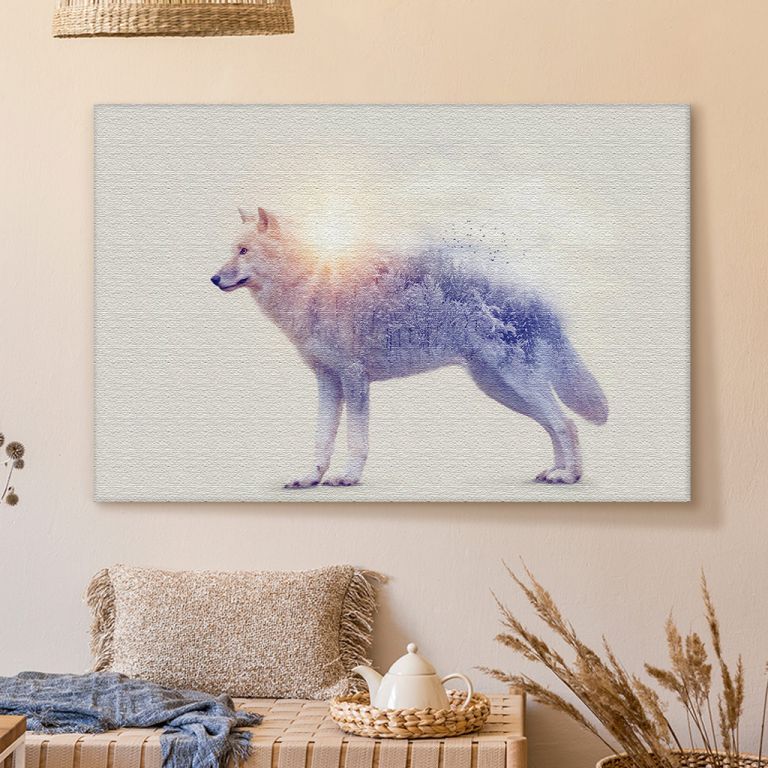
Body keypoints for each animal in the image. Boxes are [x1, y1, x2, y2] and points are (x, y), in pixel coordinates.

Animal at [211, 208, 608, 488]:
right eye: (232, 251)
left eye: (244, 251)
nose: (213, 278)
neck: (310, 283)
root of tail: (539, 297)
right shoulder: (327, 380)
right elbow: (321, 438)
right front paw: (311, 478)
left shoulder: (354, 379)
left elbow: (355, 439)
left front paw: (348, 477)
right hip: (500, 389)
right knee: (555, 425)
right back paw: (556, 471)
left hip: (514, 384)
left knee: (566, 423)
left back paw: (568, 477)